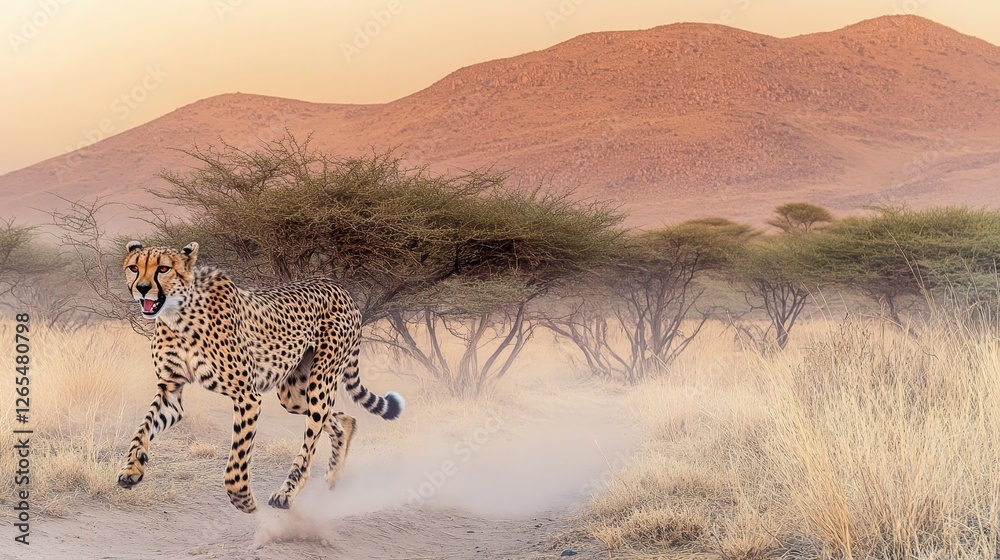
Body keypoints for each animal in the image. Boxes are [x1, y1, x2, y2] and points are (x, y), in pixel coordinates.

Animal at [116, 241, 404, 513]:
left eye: (163, 269)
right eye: (134, 268)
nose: (142, 288)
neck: (176, 315)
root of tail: (338, 286)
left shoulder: (247, 395)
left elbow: (238, 457)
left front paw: (243, 500)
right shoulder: (171, 390)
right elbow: (142, 428)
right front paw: (132, 468)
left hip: (320, 381)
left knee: (311, 439)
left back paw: (286, 493)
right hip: (294, 394)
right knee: (340, 420)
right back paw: (334, 473)